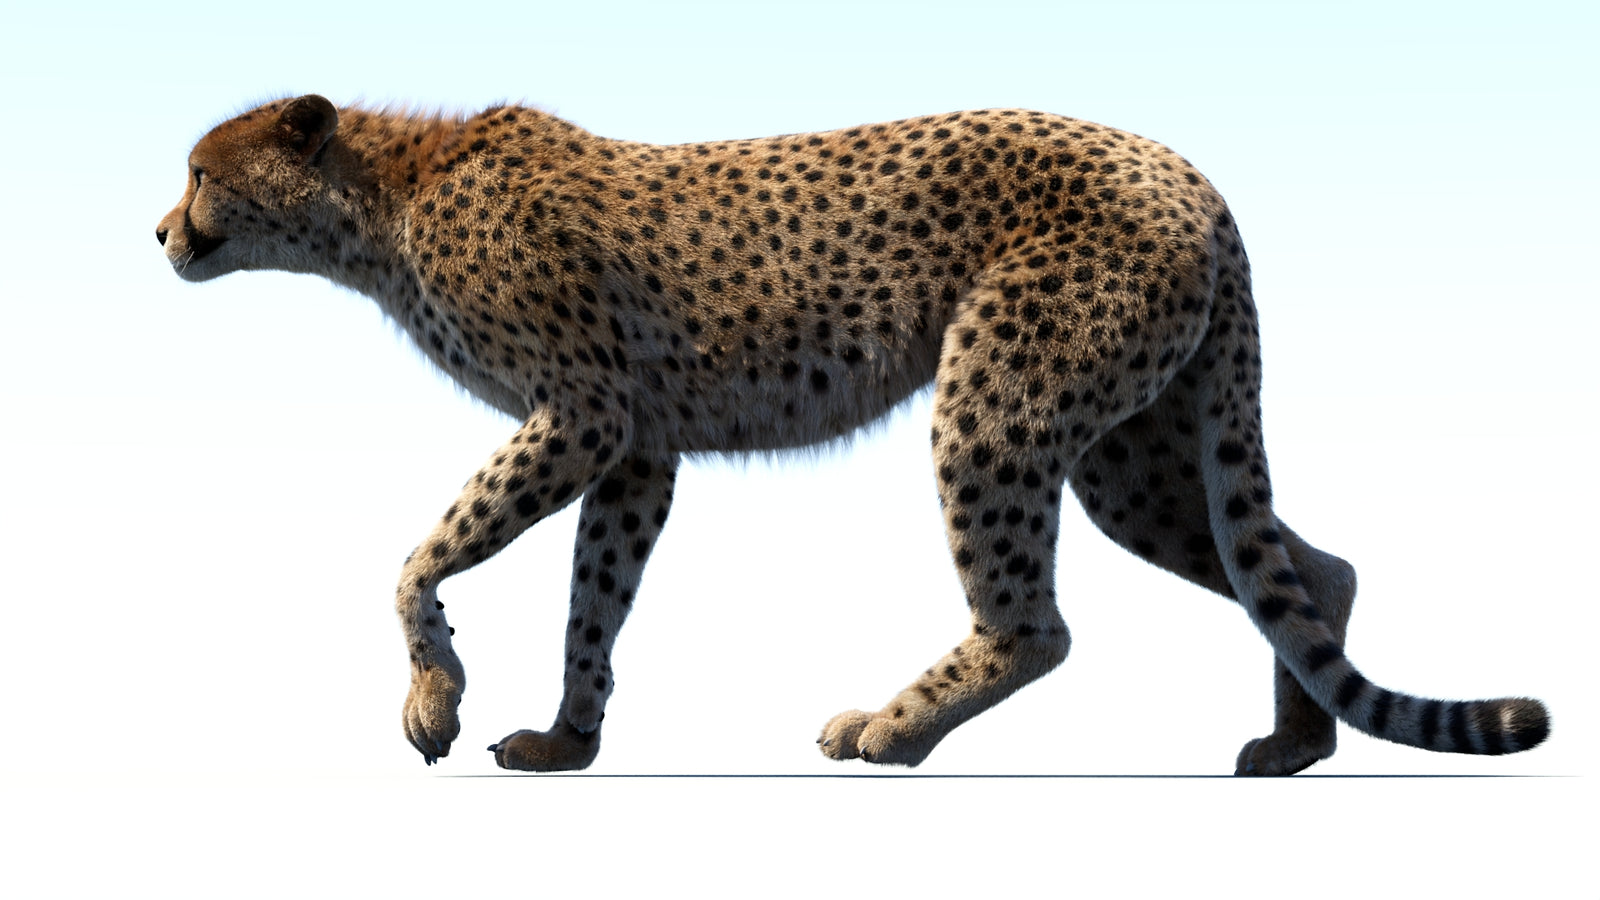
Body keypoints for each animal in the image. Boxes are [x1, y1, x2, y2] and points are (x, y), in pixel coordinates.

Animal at [157, 95, 1549, 775]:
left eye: (201, 173)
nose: (162, 231)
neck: (382, 203)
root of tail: (1188, 172)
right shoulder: (637, 446)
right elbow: (591, 602)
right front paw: (567, 740)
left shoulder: (585, 412)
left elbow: (417, 558)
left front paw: (433, 701)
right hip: (1131, 451)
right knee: (1308, 573)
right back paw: (1296, 743)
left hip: (998, 399)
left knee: (1036, 625)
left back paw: (891, 728)